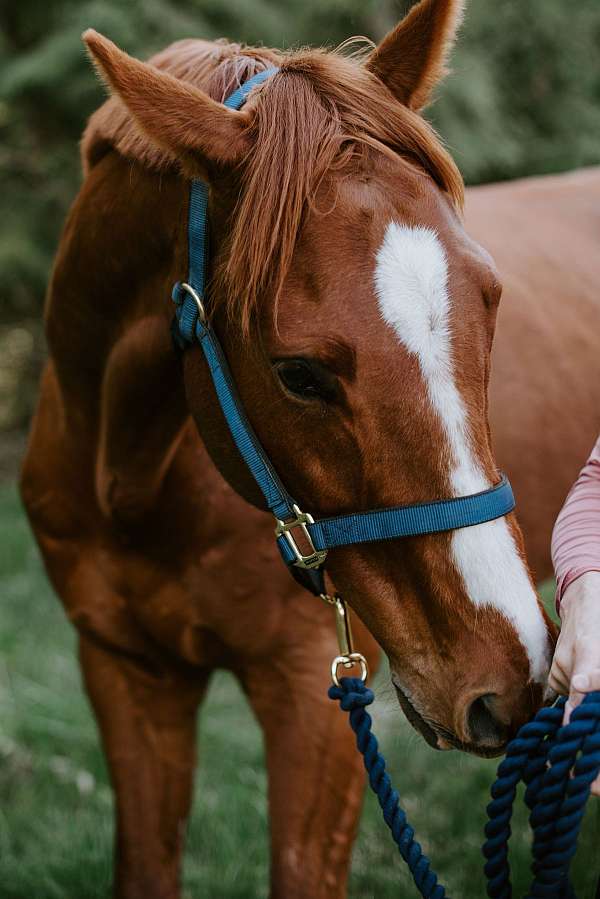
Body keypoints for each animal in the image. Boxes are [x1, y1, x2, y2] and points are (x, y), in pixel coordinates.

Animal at [19, 0, 600, 896]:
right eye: (299, 374)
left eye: (491, 301)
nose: (512, 677)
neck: (134, 482)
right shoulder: (125, 671)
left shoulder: (309, 694)